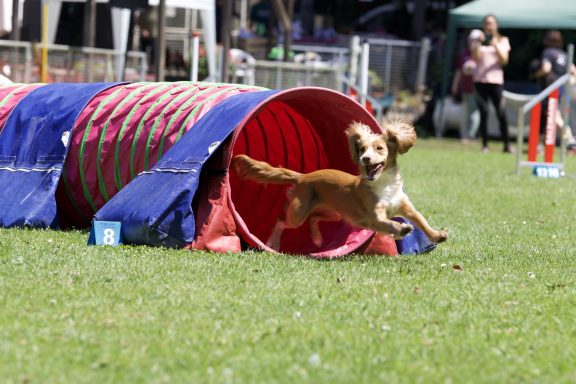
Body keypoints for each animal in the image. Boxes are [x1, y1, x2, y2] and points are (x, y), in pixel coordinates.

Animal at [232, 121, 448, 250]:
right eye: (362, 149)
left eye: (379, 148)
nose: (365, 158)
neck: (383, 184)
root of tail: (303, 176)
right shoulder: (375, 216)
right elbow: (389, 222)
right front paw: (402, 229)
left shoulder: (406, 207)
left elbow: (421, 221)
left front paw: (438, 235)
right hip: (299, 212)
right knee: (281, 220)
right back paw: (274, 243)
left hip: (334, 212)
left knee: (314, 218)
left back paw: (317, 239)